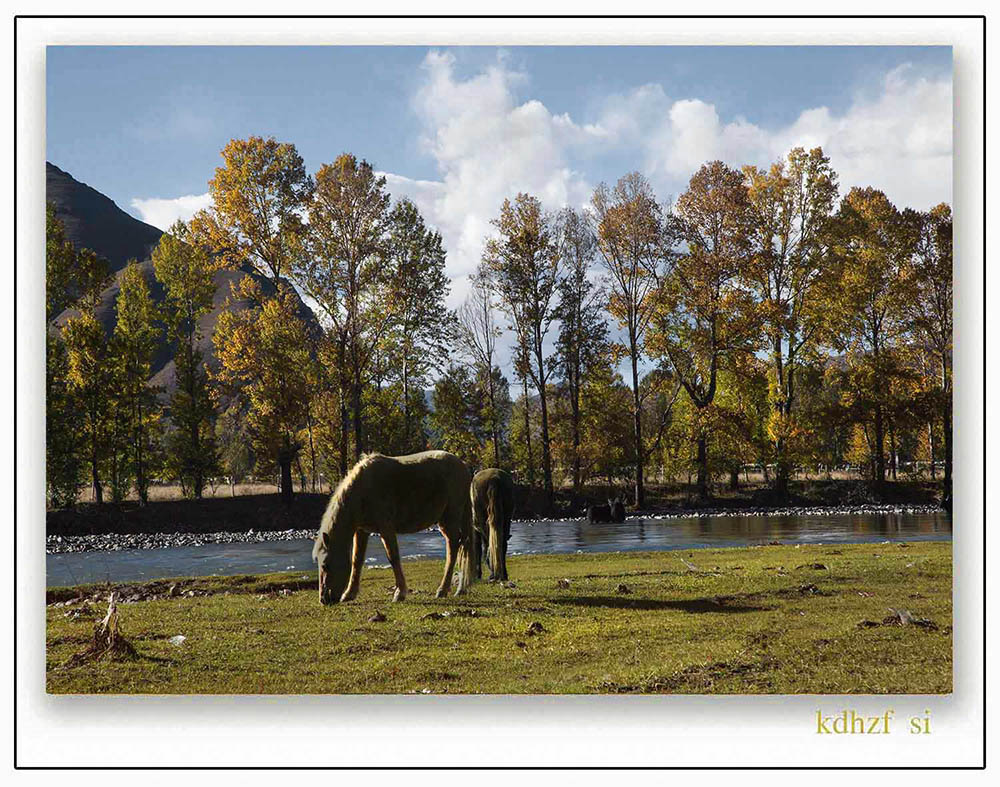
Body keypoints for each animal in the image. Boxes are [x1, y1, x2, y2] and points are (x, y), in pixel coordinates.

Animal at [314, 450, 474, 608]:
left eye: (326, 565)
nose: (324, 599)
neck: (363, 490)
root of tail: (463, 467)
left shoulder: (386, 528)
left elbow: (393, 557)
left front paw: (400, 593)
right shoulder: (362, 531)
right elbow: (357, 560)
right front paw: (349, 594)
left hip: (450, 519)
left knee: (453, 548)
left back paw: (442, 590)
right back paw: (460, 589)